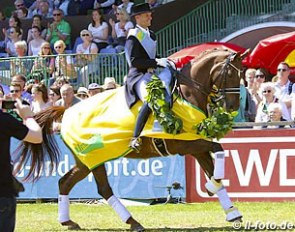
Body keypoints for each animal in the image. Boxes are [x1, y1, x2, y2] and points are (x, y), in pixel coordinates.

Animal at [15, 48, 250, 231]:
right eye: (231, 73)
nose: (232, 107)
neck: (187, 94)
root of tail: (67, 111)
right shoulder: (185, 144)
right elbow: (218, 149)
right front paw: (211, 188)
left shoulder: (196, 147)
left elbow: (214, 167)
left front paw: (231, 211)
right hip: (92, 158)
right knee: (101, 189)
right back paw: (132, 222)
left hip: (86, 161)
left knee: (67, 182)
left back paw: (68, 222)